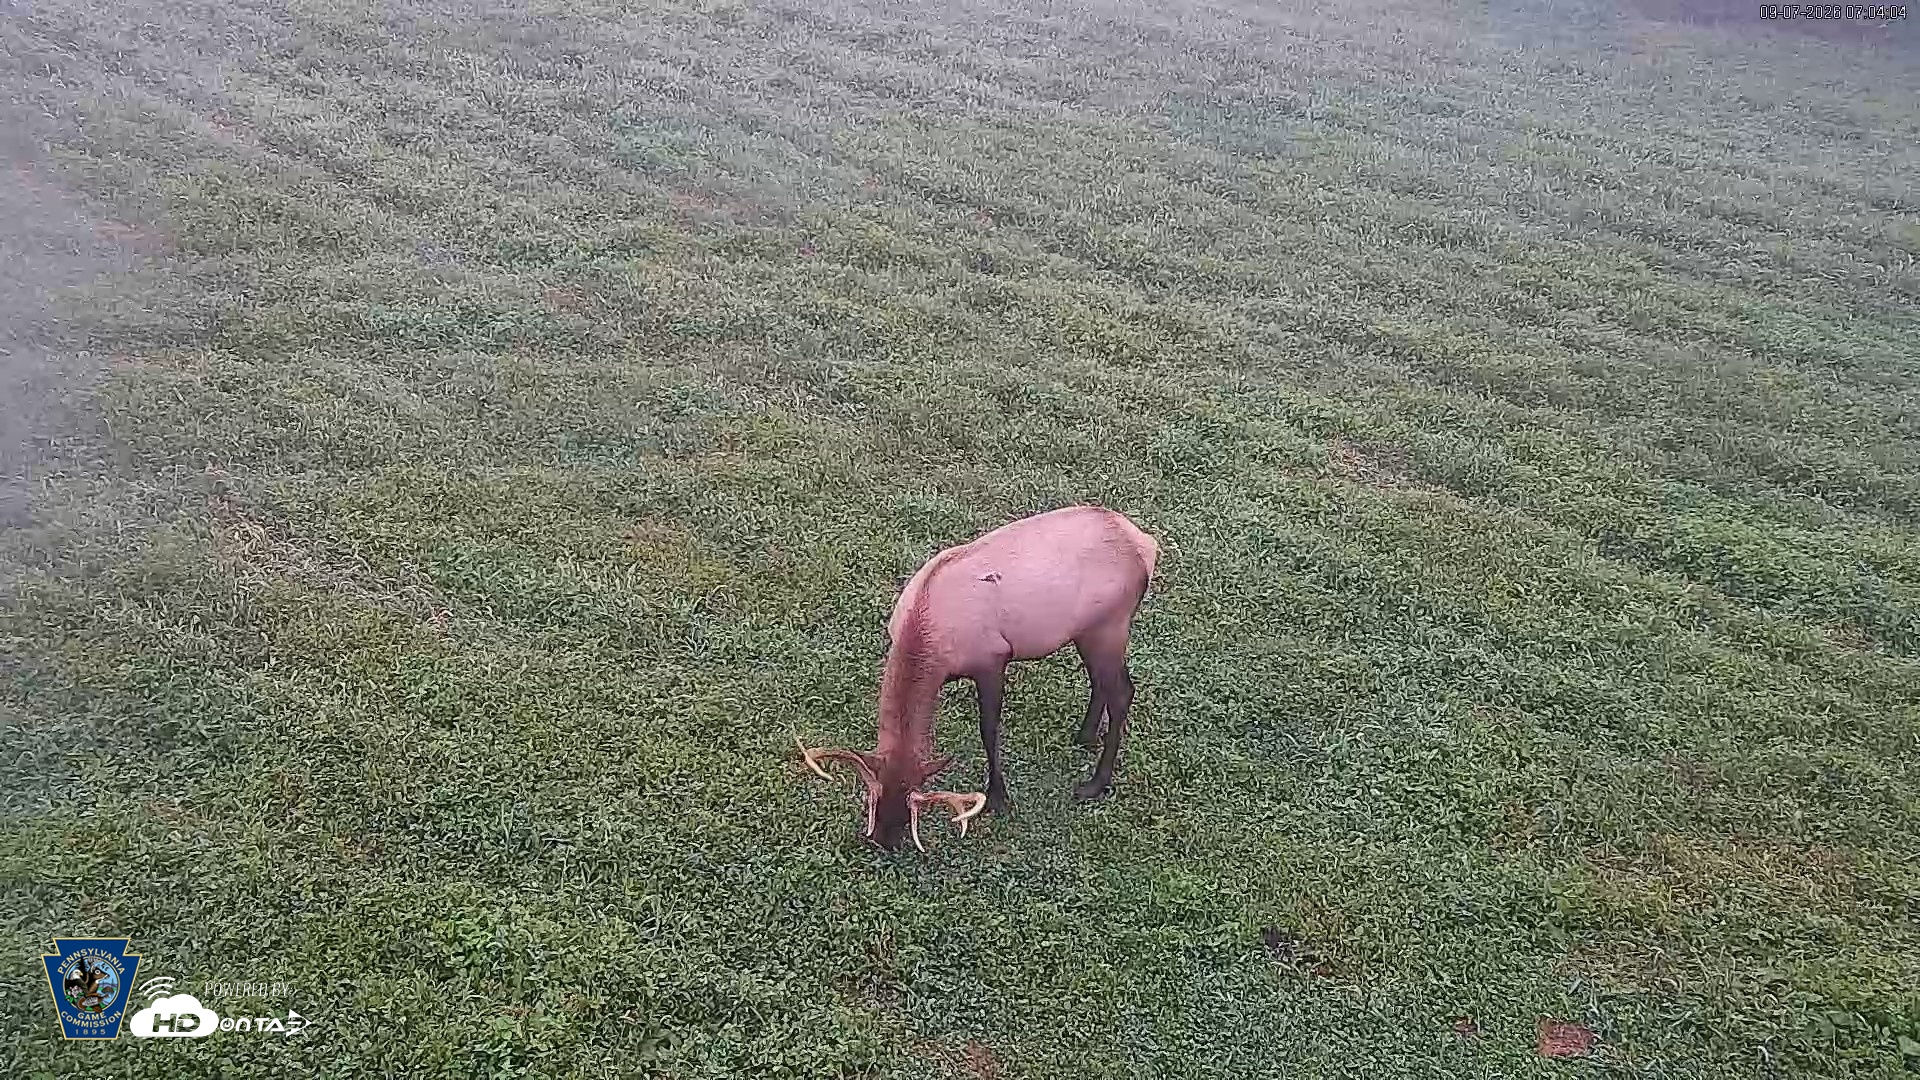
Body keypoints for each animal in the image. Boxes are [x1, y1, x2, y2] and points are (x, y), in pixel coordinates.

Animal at [796, 504, 1159, 852]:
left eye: (912, 800)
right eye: (873, 798)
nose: (883, 841)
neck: (925, 638)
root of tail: (1146, 546)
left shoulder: (992, 660)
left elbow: (989, 729)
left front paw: (998, 797)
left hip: (1109, 624)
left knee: (1123, 692)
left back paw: (1095, 784)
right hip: (1087, 632)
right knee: (1101, 684)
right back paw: (1084, 736)